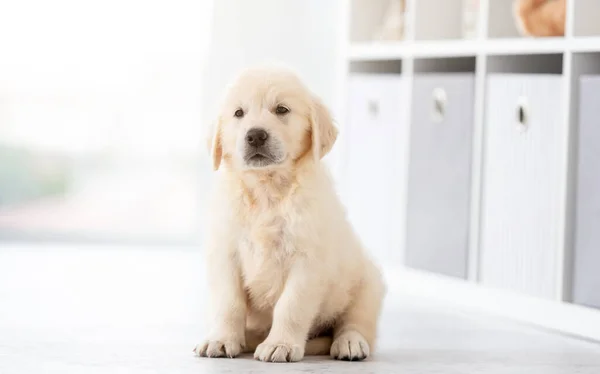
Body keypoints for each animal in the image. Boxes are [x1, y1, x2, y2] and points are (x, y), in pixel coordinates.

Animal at [195, 66, 386, 362]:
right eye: (238, 113)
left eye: (281, 109)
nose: (255, 135)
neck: (267, 190)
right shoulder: (226, 253)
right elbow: (229, 303)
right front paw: (222, 339)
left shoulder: (307, 259)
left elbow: (291, 306)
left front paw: (280, 344)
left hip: (368, 283)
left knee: (355, 322)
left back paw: (350, 343)